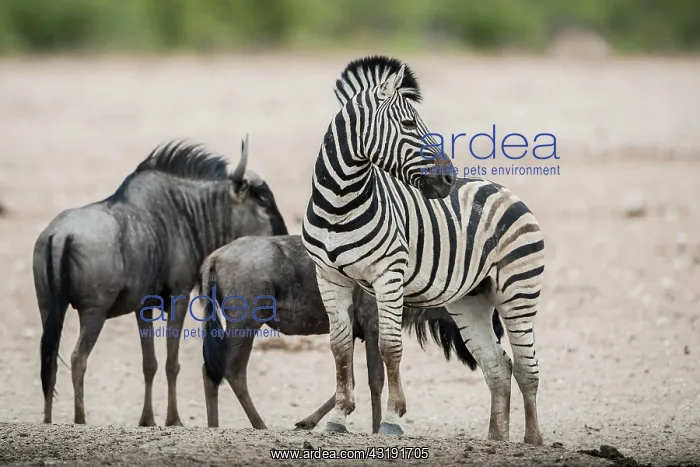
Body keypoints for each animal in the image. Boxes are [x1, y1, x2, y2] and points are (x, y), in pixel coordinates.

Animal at [301, 55, 545, 445]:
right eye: (408, 124)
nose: (448, 178)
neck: (340, 202)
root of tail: (503, 189)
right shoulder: (328, 276)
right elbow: (339, 346)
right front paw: (339, 417)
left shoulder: (388, 274)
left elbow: (390, 346)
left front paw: (392, 419)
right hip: (470, 299)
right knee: (498, 366)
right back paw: (496, 439)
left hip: (518, 291)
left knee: (526, 366)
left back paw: (533, 440)